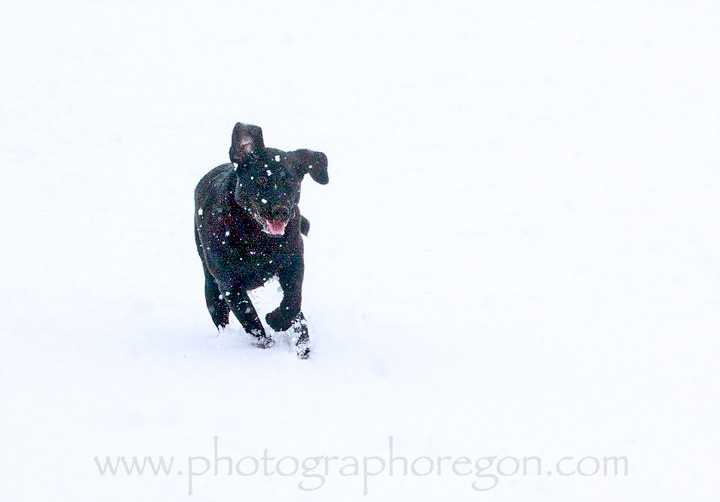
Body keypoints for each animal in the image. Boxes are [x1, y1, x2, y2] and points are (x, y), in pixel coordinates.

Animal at [191, 122, 326, 358]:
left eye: (291, 182)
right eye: (262, 179)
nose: (281, 211)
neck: (258, 239)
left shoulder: (294, 262)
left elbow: (293, 299)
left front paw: (277, 320)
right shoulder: (229, 284)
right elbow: (249, 317)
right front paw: (266, 343)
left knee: (298, 314)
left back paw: (303, 344)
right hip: (211, 285)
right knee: (220, 314)